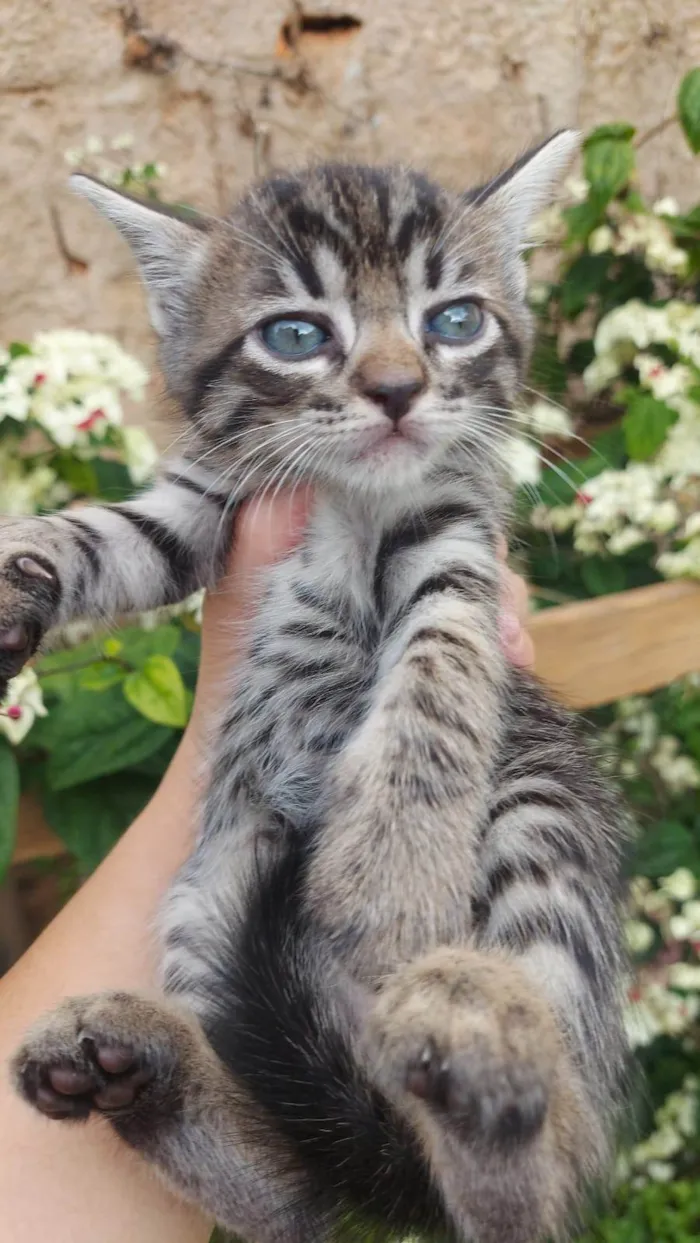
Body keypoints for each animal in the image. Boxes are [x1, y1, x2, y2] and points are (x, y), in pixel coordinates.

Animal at [5, 133, 629, 1243]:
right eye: (296, 335)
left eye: (453, 320)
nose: (396, 388)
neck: (349, 495)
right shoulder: (206, 498)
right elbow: (107, 534)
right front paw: (19, 568)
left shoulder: (455, 533)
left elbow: (440, 666)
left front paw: (387, 873)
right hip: (211, 896)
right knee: (304, 1188)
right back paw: (137, 1068)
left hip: (539, 807)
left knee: (522, 1186)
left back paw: (485, 1062)